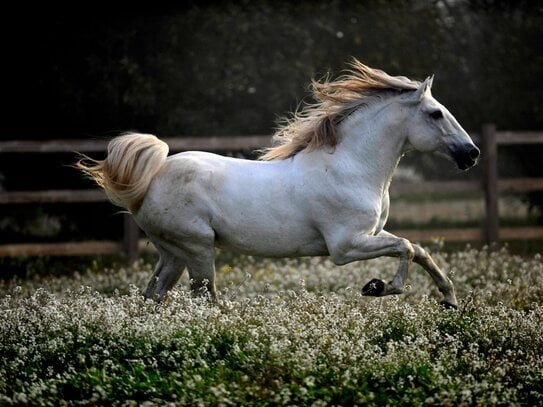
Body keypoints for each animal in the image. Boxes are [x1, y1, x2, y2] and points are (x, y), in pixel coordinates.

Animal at [77, 59, 480, 310]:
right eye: (435, 113)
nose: (471, 153)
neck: (351, 167)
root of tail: (152, 177)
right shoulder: (345, 246)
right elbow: (406, 247)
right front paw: (380, 288)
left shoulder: (369, 235)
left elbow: (419, 250)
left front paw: (449, 299)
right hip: (198, 249)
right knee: (204, 298)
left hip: (173, 254)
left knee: (153, 296)